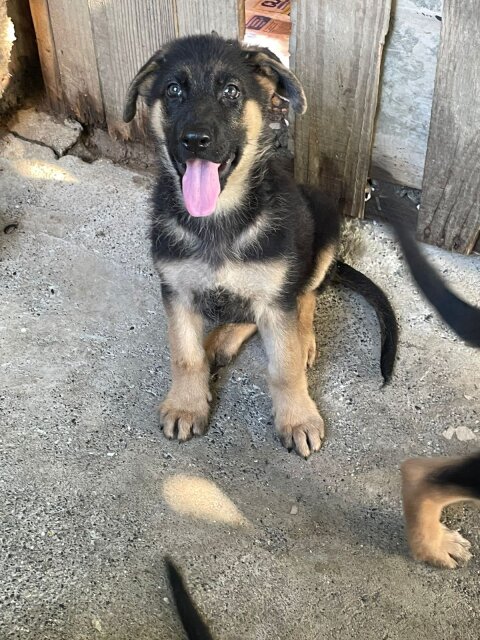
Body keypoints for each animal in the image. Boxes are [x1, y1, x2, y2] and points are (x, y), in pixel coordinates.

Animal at [124, 35, 398, 458]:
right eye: (172, 90)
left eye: (231, 91)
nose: (195, 141)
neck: (218, 218)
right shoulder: (176, 290)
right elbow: (185, 355)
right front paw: (186, 404)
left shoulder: (275, 294)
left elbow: (284, 366)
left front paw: (297, 418)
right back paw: (219, 341)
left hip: (322, 235)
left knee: (305, 296)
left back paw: (302, 340)